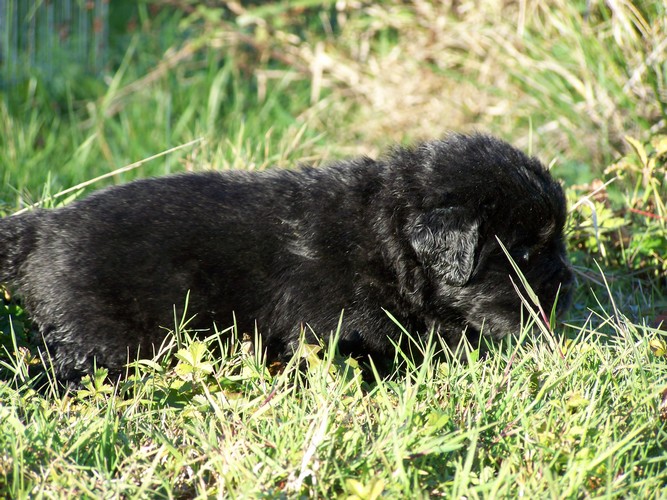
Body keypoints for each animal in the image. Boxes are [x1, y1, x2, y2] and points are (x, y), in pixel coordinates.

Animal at [0, 133, 573, 381]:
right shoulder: (332, 331)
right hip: (103, 338)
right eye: (525, 250)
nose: (568, 291)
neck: (385, 242)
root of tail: (39, 227)